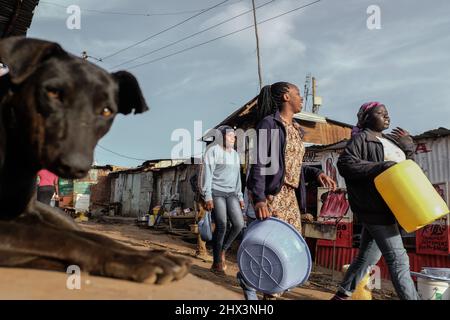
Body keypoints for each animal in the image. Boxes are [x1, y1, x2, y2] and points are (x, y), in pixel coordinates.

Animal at [0, 37, 190, 284]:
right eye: (53, 92)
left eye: (107, 111)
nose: (76, 165)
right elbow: (59, 240)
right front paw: (134, 262)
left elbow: (93, 238)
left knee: (86, 233)